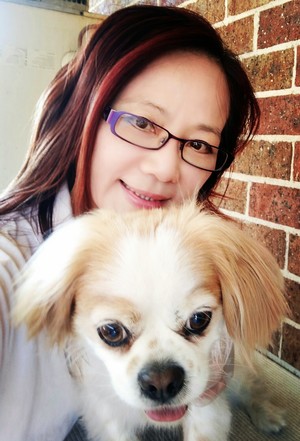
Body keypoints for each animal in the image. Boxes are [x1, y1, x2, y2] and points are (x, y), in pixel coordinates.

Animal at [13, 204, 288, 440]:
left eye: (199, 319)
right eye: (111, 331)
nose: (161, 381)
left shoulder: (208, 404)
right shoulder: (106, 413)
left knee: (252, 387)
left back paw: (269, 416)